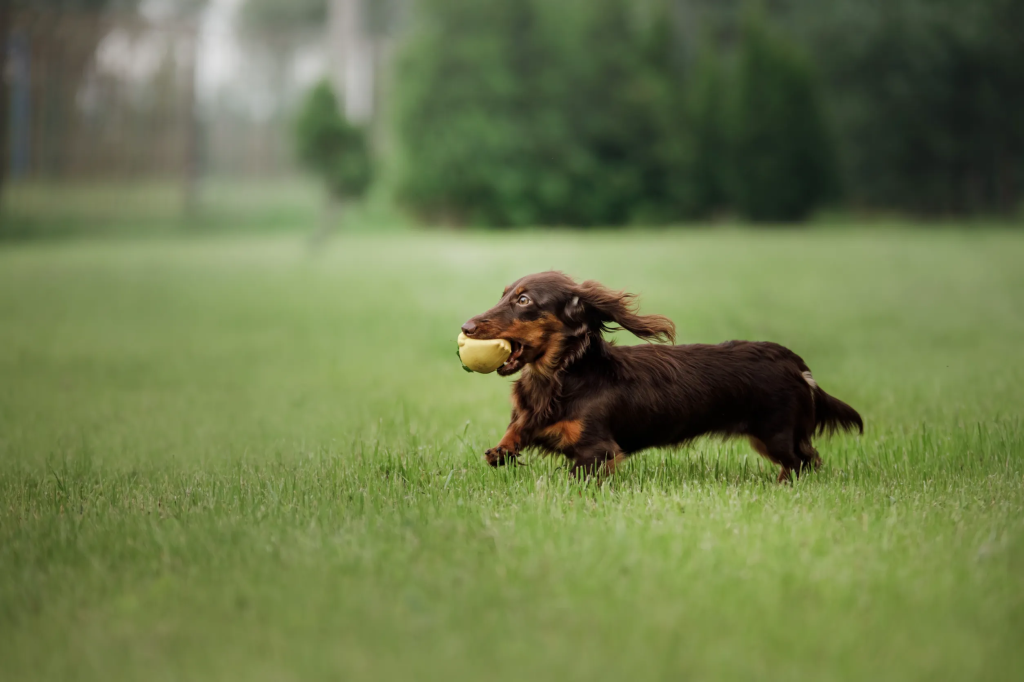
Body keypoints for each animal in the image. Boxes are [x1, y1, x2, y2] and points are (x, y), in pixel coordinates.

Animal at [464, 268, 864, 481]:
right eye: (504, 294)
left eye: (524, 300)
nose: (466, 327)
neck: (561, 376)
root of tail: (793, 362)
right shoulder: (529, 418)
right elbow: (514, 432)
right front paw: (501, 450)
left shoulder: (598, 450)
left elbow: (580, 475)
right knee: (809, 458)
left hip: (775, 433)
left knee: (798, 462)